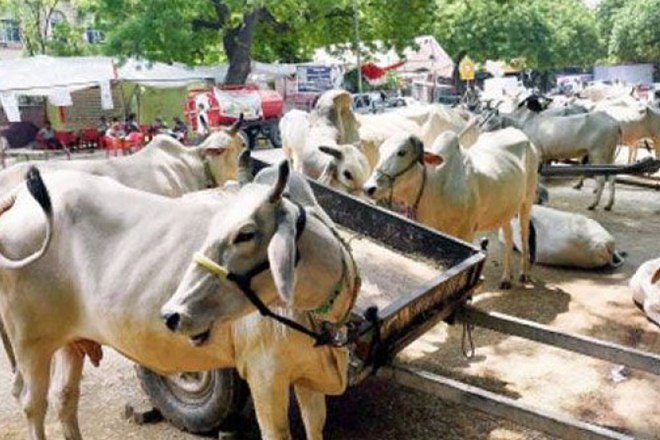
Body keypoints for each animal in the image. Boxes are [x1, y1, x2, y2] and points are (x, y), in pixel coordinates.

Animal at [0, 161, 358, 440]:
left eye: (245, 234)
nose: (172, 314)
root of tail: (21, 197)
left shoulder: (307, 377)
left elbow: (315, 426)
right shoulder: (265, 376)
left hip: (68, 341)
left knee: (65, 397)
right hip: (30, 343)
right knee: (32, 403)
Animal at [363, 129, 539, 288]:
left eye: (402, 152)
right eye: (380, 151)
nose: (368, 188)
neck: (434, 186)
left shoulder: (467, 232)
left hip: (527, 201)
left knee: (524, 235)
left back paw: (524, 274)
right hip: (505, 210)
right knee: (509, 236)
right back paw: (506, 278)